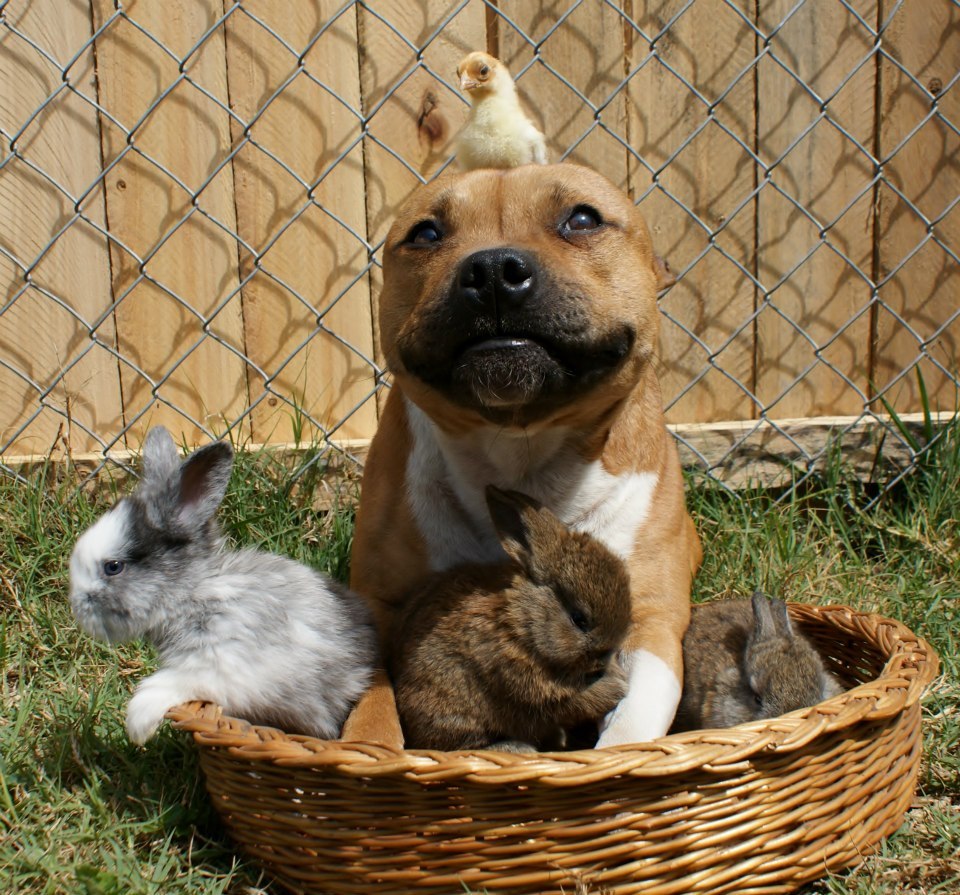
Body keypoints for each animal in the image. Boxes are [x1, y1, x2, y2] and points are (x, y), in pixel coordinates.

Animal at [66, 426, 376, 744]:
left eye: (113, 567)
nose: (76, 606)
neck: (194, 594)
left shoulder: (223, 668)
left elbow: (172, 682)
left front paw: (138, 725)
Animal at [386, 486, 632, 752]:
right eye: (579, 619)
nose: (604, 659)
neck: (522, 623)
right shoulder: (533, 692)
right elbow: (577, 702)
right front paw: (619, 686)